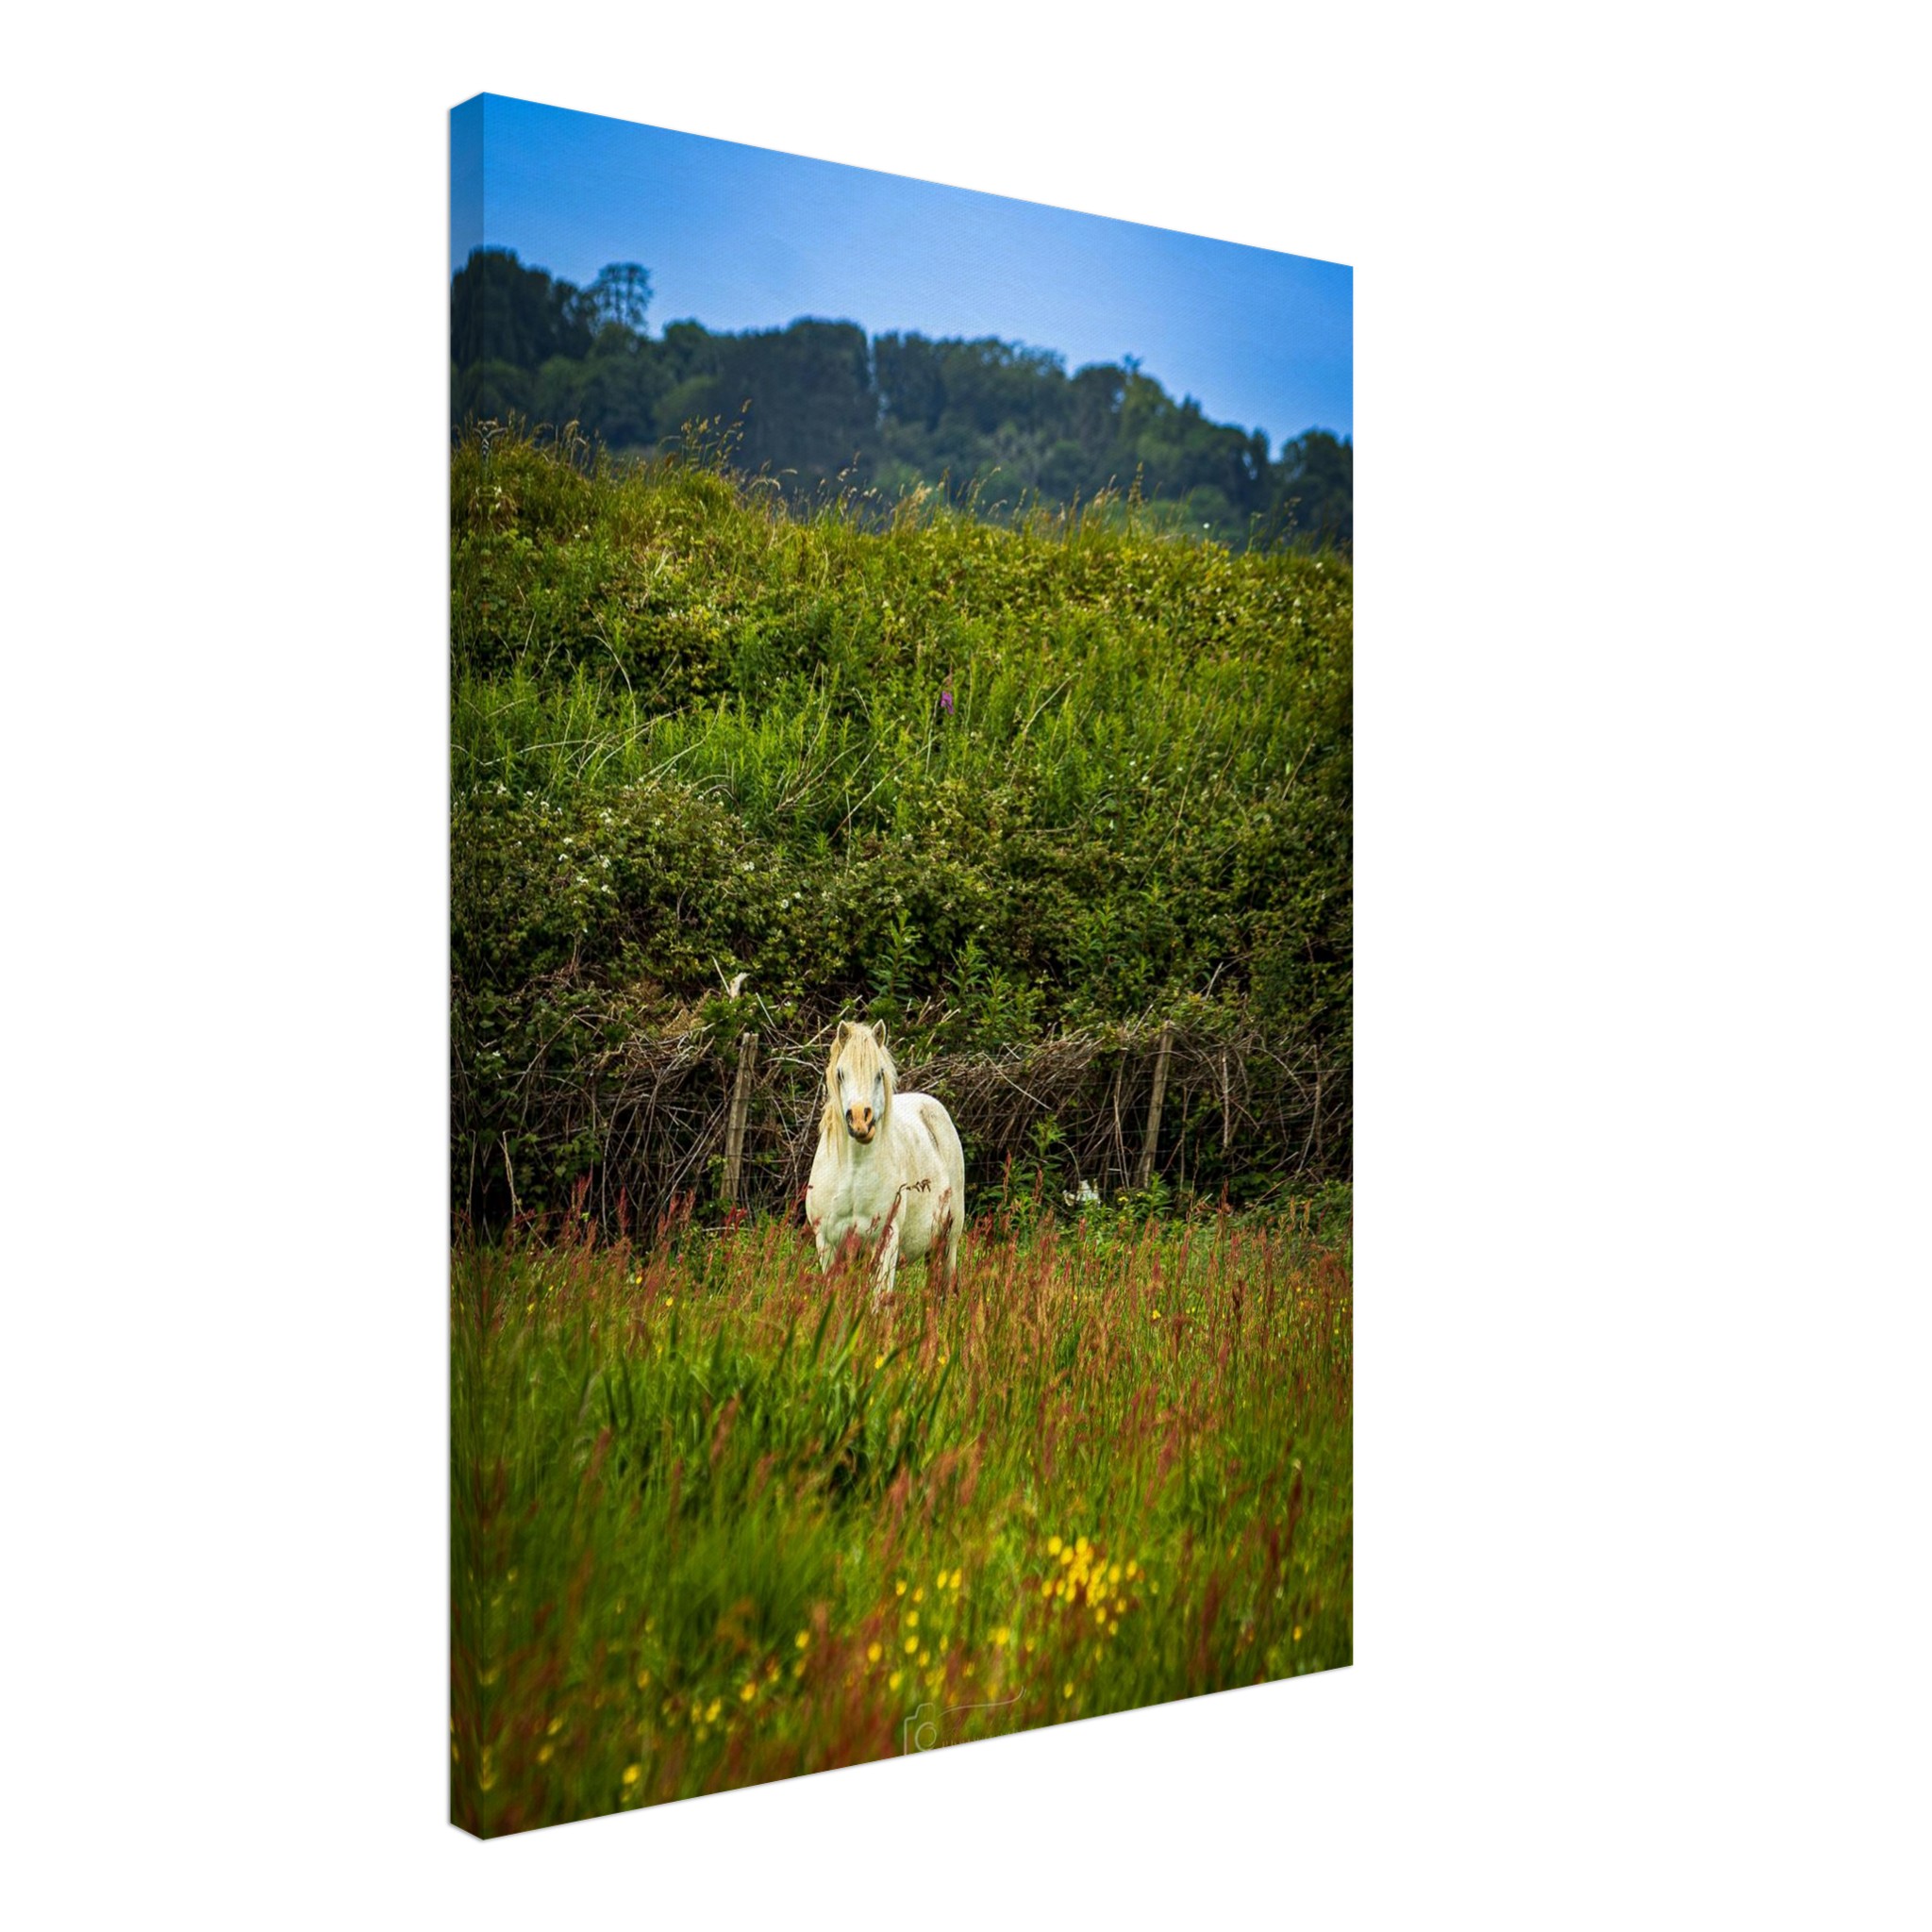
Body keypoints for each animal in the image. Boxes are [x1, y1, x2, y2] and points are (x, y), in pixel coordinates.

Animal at [804, 1020, 966, 1302]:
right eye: (841, 1074)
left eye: (879, 1073)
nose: (860, 1120)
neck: (852, 1174)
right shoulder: (828, 1245)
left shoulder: (886, 1243)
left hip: (948, 1243)